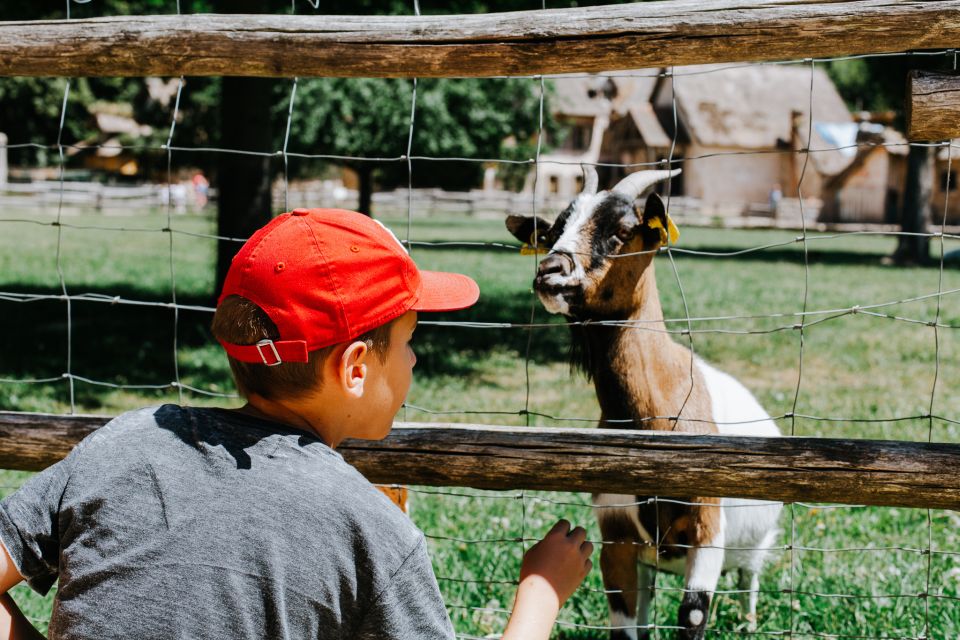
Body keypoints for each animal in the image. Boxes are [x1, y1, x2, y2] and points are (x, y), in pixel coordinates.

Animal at [502, 169, 780, 640]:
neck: (658, 414)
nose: (551, 272)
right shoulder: (616, 536)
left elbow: (692, 616)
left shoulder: (707, 530)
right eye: (554, 231)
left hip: (755, 544)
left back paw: (749, 622)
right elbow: (625, 624)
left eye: (621, 231)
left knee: (750, 578)